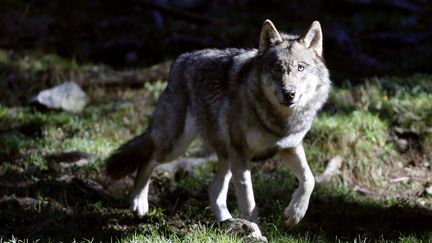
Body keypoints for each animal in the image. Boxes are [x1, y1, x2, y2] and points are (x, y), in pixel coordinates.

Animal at [107, 19, 330, 237]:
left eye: (300, 68)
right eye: (276, 67)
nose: (289, 93)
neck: (279, 120)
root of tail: (180, 60)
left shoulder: (289, 147)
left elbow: (309, 180)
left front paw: (295, 214)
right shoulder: (241, 154)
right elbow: (249, 203)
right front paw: (256, 232)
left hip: (224, 156)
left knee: (213, 190)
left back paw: (226, 222)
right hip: (176, 146)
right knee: (148, 159)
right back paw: (138, 203)